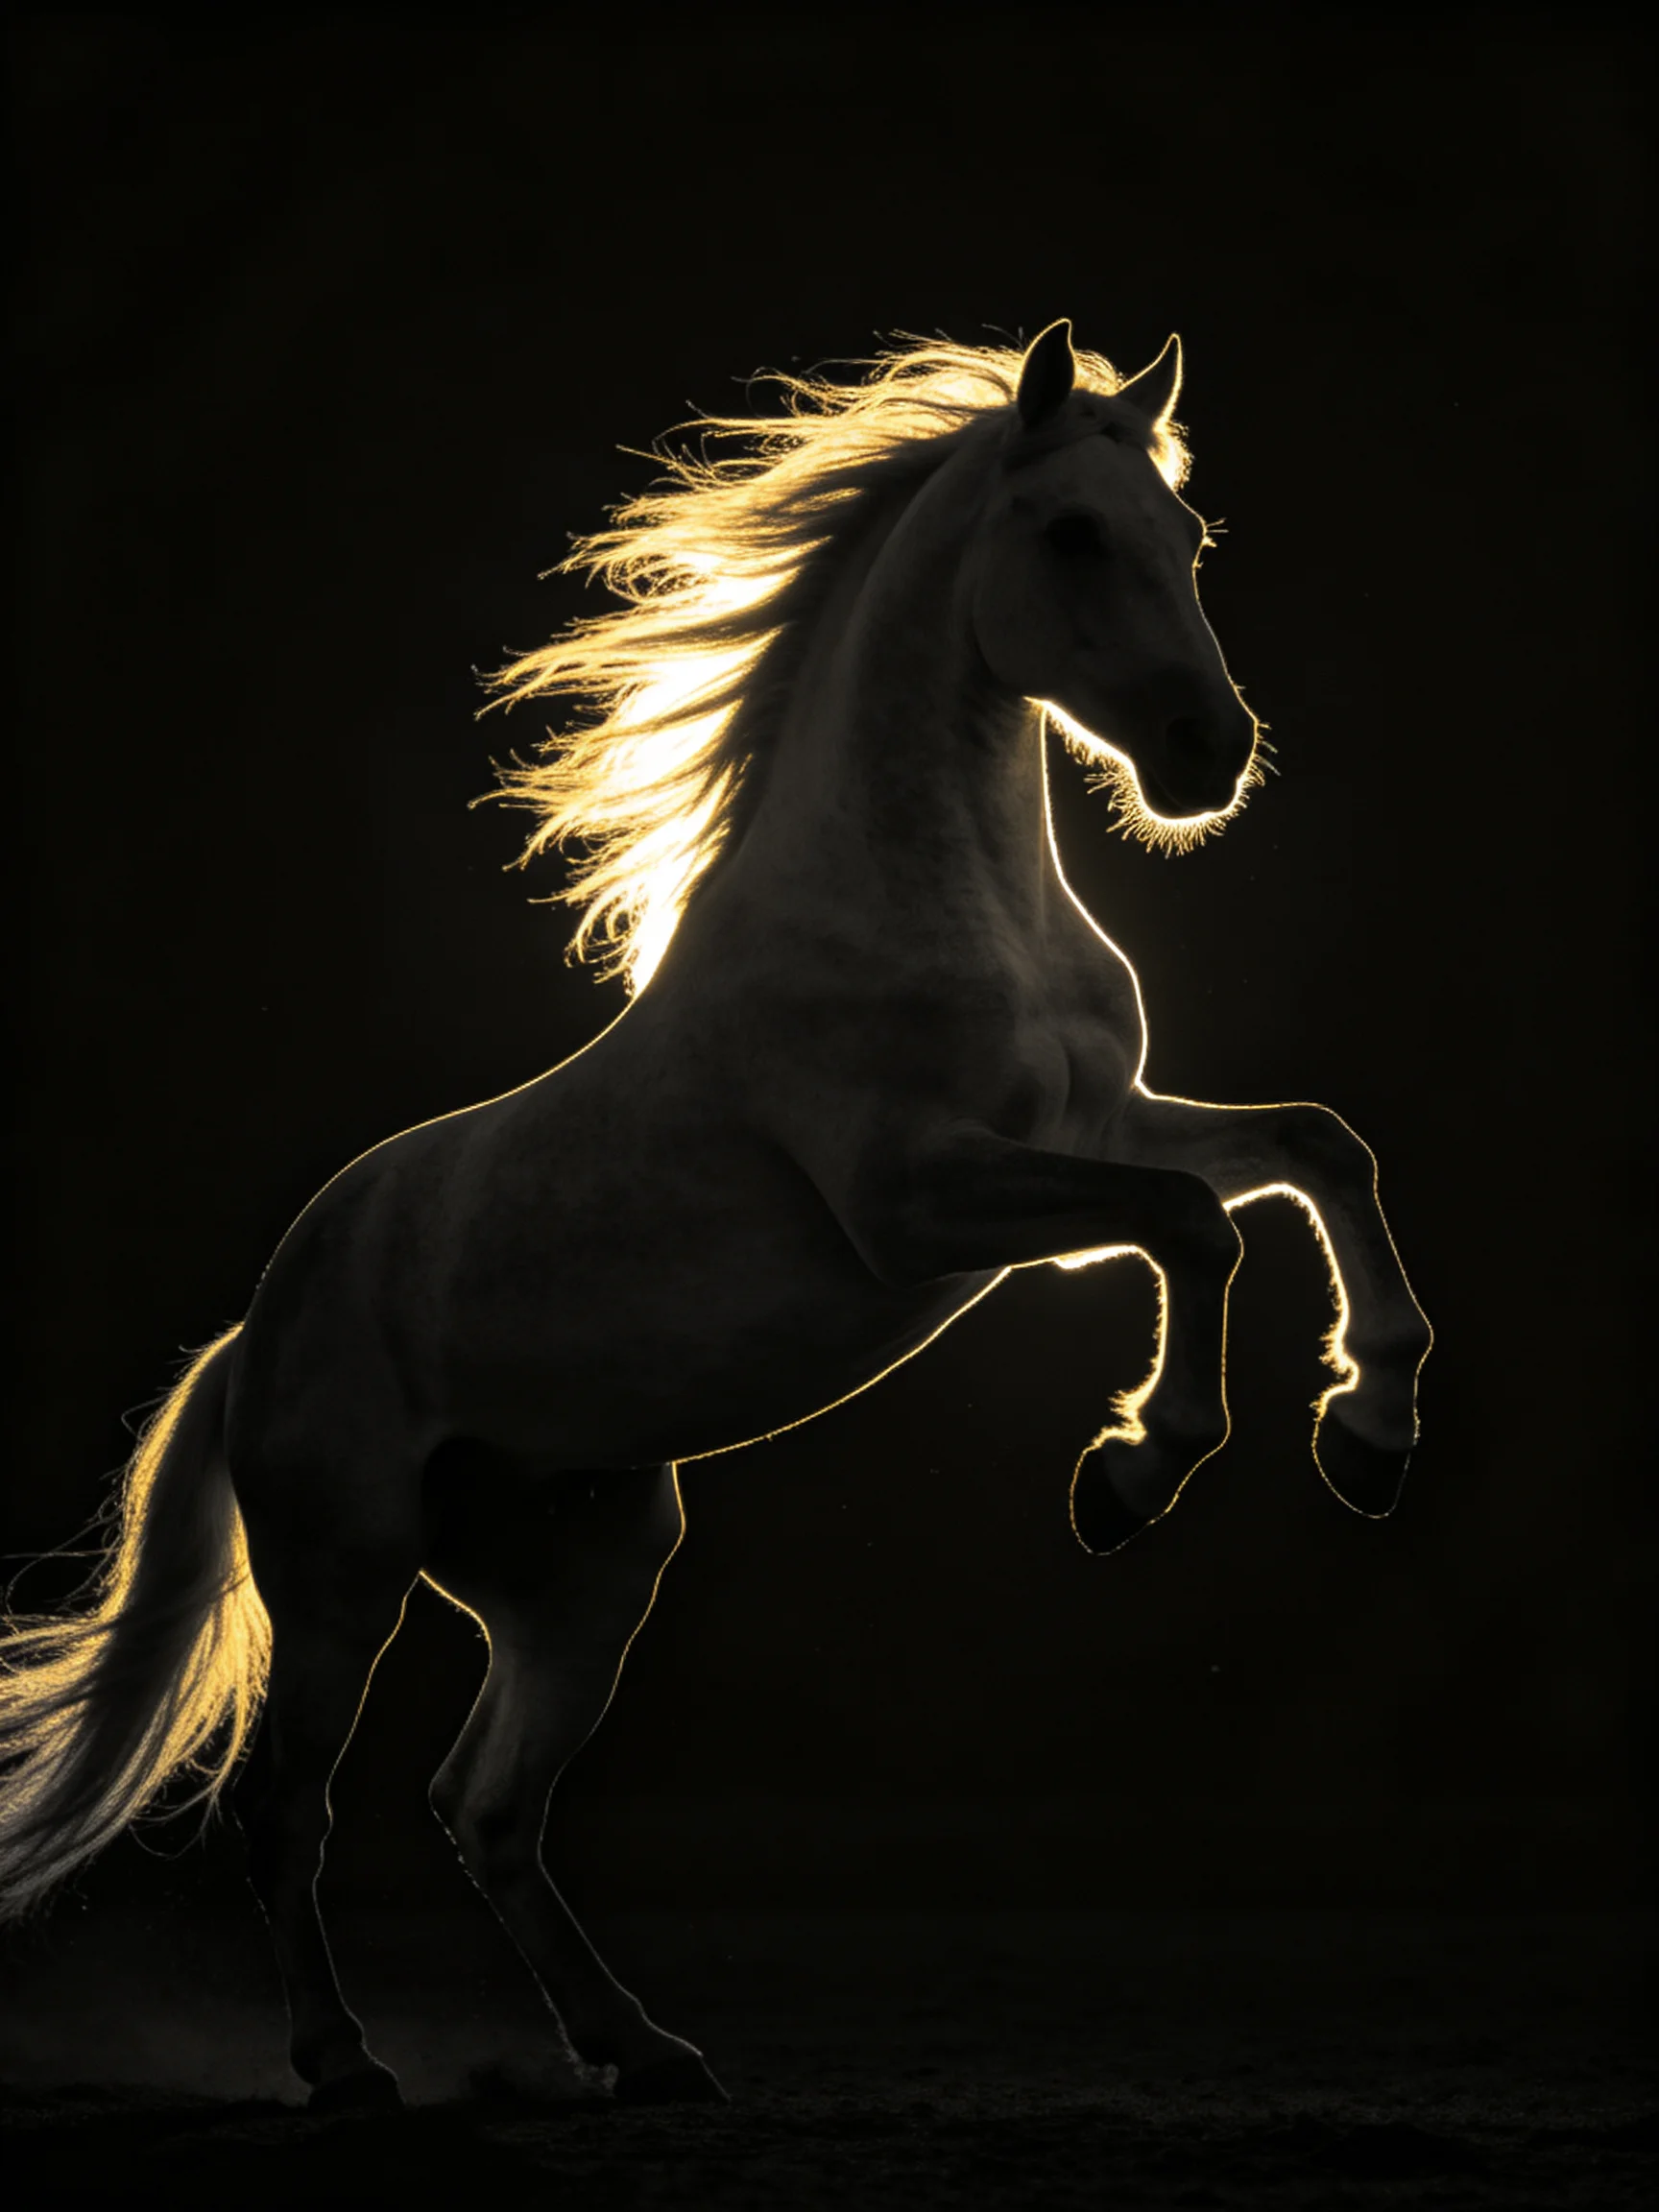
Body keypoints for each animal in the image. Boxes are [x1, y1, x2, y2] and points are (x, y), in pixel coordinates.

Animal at [0, 320, 1430, 2110]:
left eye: (1185, 541)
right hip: (344, 1568)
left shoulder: (1090, 1131)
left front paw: (1367, 1434)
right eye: (1069, 536)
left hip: (587, 1569)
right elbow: (1198, 1223)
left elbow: (1313, 1152)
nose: (1204, 754)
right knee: (291, 1806)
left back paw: (642, 2045)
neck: (936, 902)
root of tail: (255, 1329)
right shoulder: (917, 1202)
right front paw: (1134, 1473)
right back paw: (346, 2065)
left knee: (485, 1808)